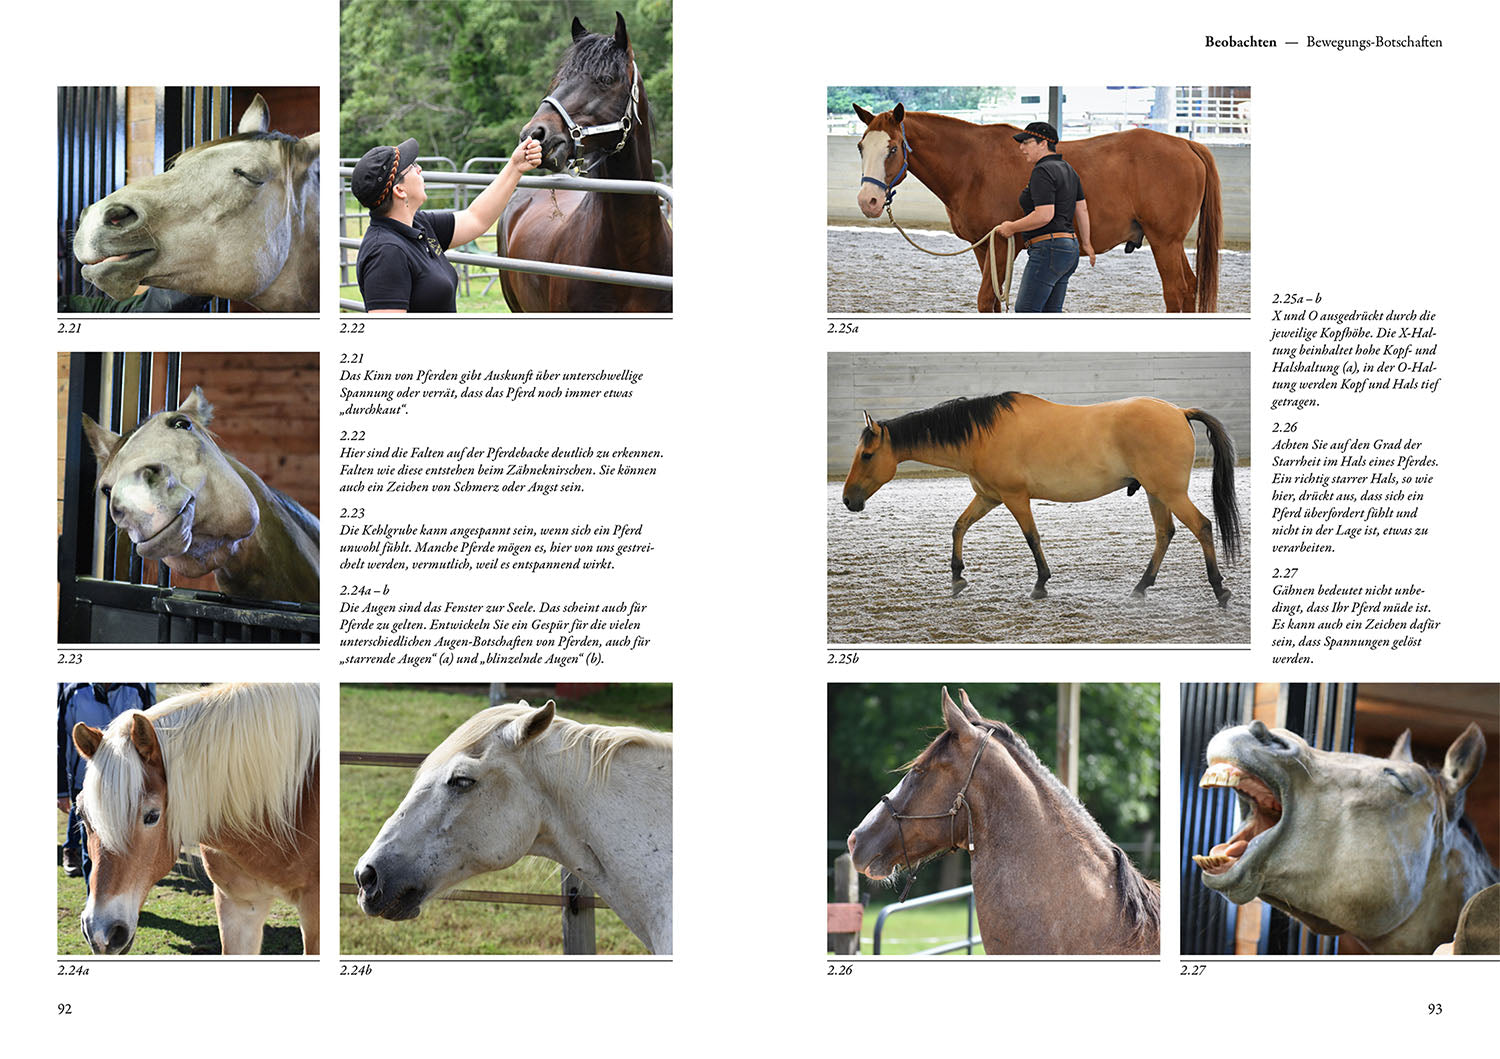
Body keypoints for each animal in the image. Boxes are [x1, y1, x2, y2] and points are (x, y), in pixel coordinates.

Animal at [841, 391, 1241, 606]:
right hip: (1157, 494)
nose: (848, 500)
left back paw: (1219, 589)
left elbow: (1031, 537)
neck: (982, 434)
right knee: (1165, 534)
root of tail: (1179, 412)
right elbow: (958, 527)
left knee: (1202, 526)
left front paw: (1040, 583)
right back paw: (1141, 587)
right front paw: (956, 577)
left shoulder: (1014, 497)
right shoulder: (988, 497)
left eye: (867, 455)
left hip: (1170, 492)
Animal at [852, 104, 1221, 313]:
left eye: (893, 148)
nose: (868, 201)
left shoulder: (1002, 243)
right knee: (1190, 290)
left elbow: (986, 300)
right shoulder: (984, 247)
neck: (973, 166)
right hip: (1170, 243)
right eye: (860, 147)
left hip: (1164, 241)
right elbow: (993, 301)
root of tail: (1186, 143)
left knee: (1177, 292)